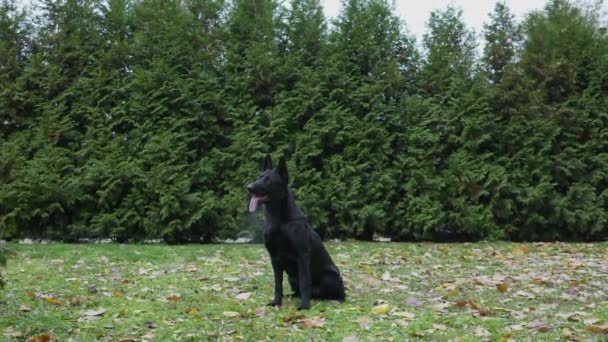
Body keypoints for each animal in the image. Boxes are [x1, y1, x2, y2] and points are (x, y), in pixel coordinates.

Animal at [245, 155, 344, 310]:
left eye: (269, 181)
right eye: (259, 177)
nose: (249, 187)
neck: (279, 220)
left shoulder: (302, 256)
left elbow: (304, 282)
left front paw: (304, 306)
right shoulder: (274, 258)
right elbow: (278, 284)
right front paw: (276, 302)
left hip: (329, 277)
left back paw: (336, 299)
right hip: (291, 278)